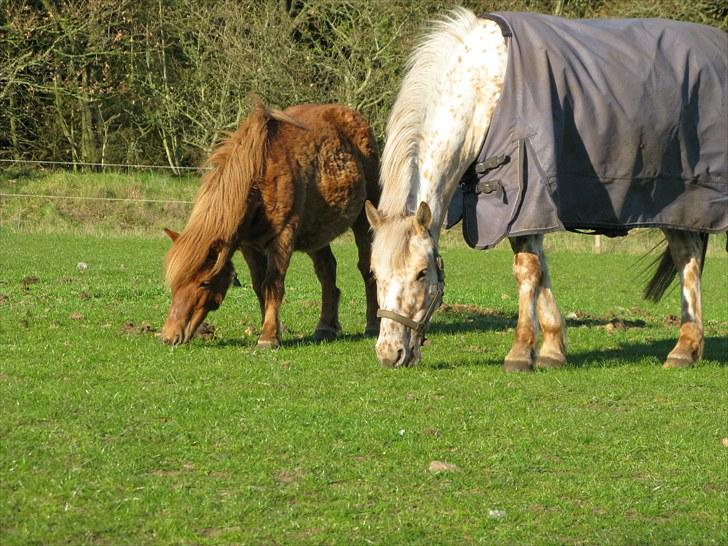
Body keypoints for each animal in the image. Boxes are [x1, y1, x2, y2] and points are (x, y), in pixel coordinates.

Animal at [162, 99, 382, 344]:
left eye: (204, 282)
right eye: (175, 282)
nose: (170, 336)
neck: (257, 176)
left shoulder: (282, 238)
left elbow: (273, 285)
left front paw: (268, 336)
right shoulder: (248, 245)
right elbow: (259, 286)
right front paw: (269, 327)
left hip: (364, 219)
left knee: (366, 267)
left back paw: (373, 326)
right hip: (316, 231)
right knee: (326, 271)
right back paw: (325, 327)